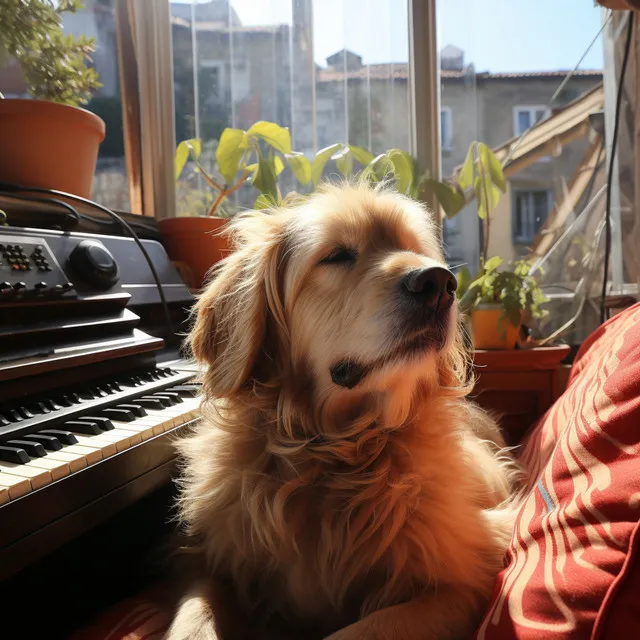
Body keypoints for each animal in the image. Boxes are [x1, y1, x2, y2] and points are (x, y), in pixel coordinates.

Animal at [168, 182, 524, 636]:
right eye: (337, 255)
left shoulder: (468, 573)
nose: (440, 282)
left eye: (414, 249)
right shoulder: (210, 562)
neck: (339, 450)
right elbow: (191, 618)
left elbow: (357, 631)